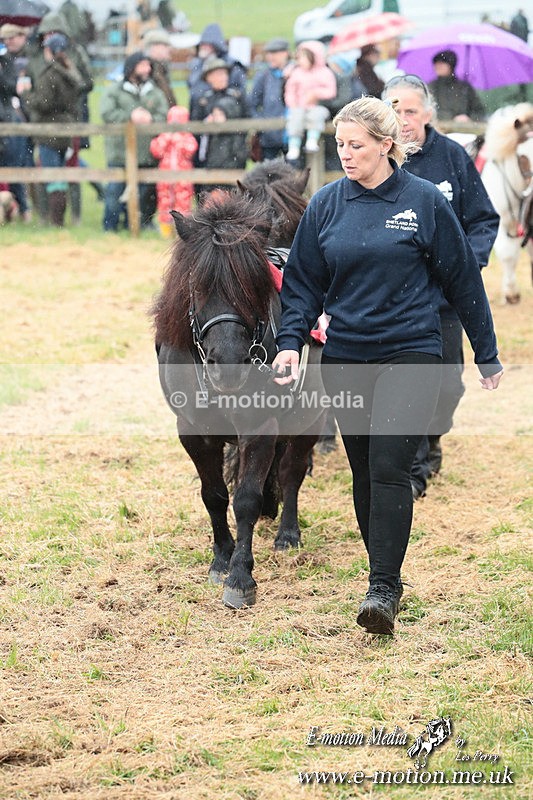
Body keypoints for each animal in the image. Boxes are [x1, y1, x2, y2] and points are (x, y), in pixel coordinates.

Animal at [152, 189, 326, 609]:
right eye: (197, 286)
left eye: (253, 286)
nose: (229, 364)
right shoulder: (193, 431)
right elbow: (213, 495)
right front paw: (220, 559)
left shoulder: (260, 428)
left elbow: (245, 498)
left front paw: (240, 577)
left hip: (311, 417)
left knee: (292, 471)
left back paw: (287, 533)